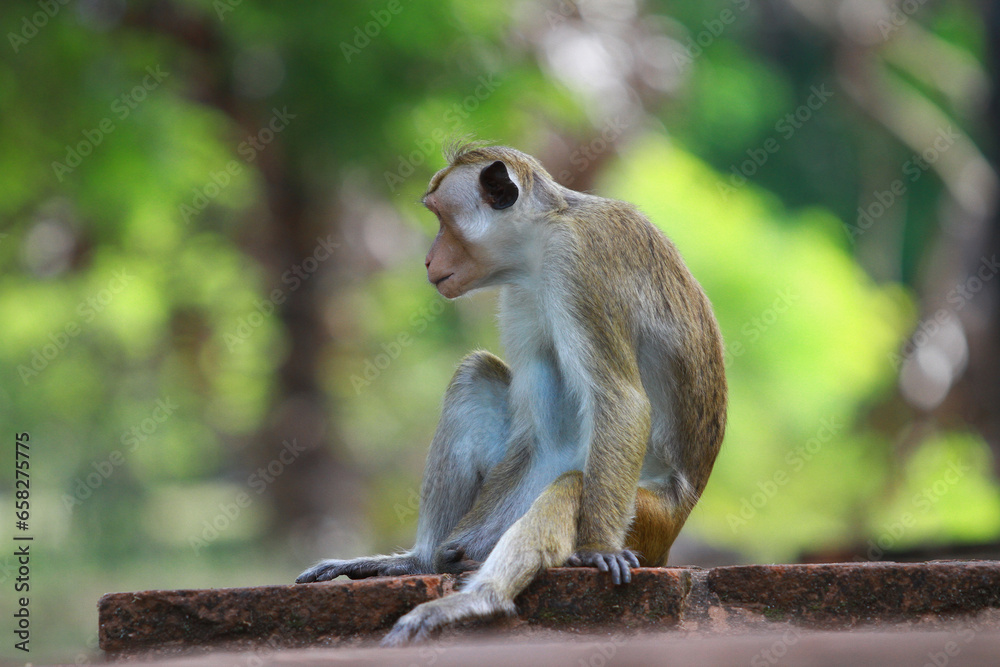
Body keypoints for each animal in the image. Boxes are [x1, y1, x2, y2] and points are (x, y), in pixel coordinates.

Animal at [296, 143, 727, 645]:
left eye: (444, 219)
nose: (427, 260)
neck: (542, 233)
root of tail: (679, 527)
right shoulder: (521, 292)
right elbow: (543, 435)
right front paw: (441, 556)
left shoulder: (576, 263)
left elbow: (621, 401)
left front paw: (597, 547)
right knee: (478, 378)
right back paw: (422, 561)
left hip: (648, 521)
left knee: (572, 484)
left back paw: (483, 597)